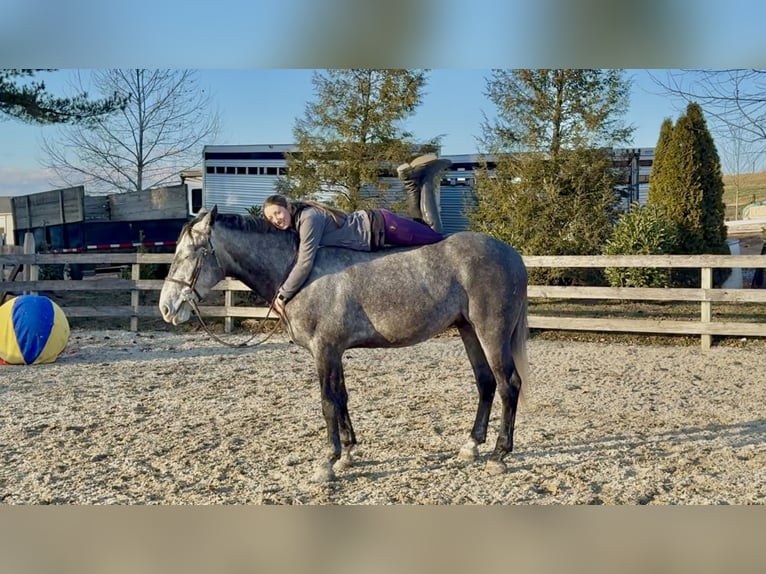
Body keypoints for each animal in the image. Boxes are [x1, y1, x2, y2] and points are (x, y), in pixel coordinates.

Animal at [159, 206, 530, 482]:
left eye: (193, 252)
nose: (167, 307)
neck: (300, 272)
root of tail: (512, 255)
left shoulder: (324, 350)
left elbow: (327, 403)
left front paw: (327, 462)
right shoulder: (334, 351)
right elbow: (341, 398)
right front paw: (348, 453)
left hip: (491, 332)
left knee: (508, 385)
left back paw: (499, 455)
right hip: (468, 330)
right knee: (485, 383)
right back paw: (471, 446)